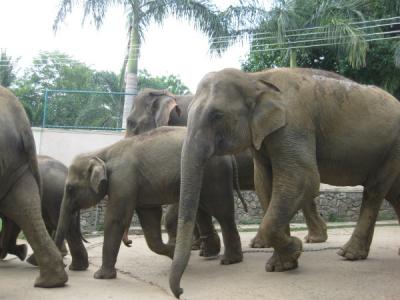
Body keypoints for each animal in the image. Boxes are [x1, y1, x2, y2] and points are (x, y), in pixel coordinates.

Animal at [54, 126, 244, 278]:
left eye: (70, 189)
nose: (64, 264)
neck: (101, 153)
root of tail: (229, 156)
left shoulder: (123, 180)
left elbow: (116, 219)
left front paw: (101, 276)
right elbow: (150, 220)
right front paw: (174, 254)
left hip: (215, 174)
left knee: (222, 211)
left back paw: (230, 260)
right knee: (205, 209)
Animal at [170, 68, 400, 298]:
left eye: (217, 115)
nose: (181, 291)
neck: (255, 78)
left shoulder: (293, 125)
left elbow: (303, 178)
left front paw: (295, 250)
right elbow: (265, 184)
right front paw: (281, 265)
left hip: (391, 149)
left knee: (375, 191)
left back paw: (348, 254)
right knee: (393, 194)